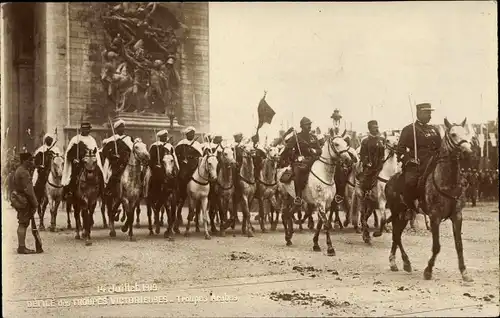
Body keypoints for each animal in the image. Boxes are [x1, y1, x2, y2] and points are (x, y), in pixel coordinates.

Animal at [386, 118, 472, 282]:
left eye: (466, 133)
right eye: (453, 134)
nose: (468, 152)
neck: (448, 182)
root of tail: (390, 181)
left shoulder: (457, 216)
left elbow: (459, 245)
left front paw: (464, 272)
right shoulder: (434, 217)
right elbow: (437, 246)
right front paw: (428, 270)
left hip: (405, 215)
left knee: (396, 235)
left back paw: (394, 263)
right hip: (396, 211)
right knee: (396, 235)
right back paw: (405, 262)